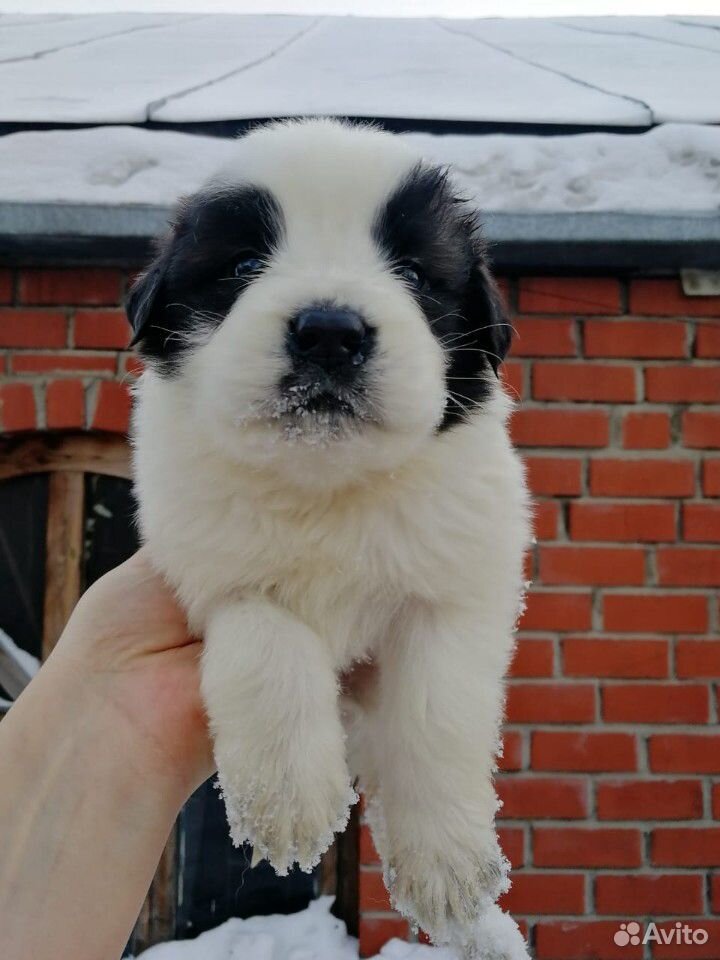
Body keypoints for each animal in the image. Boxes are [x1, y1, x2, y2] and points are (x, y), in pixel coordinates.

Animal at [129, 118, 532, 952]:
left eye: (413, 272)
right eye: (244, 265)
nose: (328, 332)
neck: (327, 486)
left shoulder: (456, 590)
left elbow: (437, 714)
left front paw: (449, 866)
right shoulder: (206, 566)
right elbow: (268, 639)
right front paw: (288, 799)